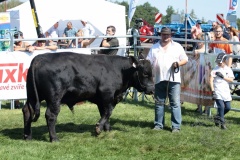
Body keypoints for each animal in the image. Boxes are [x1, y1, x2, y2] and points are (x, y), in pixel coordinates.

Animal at [22, 52, 154, 141]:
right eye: (145, 73)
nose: (152, 89)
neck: (119, 70)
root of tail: (39, 58)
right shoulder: (107, 94)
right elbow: (108, 111)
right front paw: (98, 128)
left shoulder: (101, 100)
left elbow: (105, 113)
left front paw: (107, 129)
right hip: (55, 97)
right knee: (50, 115)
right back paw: (54, 138)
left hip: (32, 96)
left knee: (27, 111)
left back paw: (28, 136)